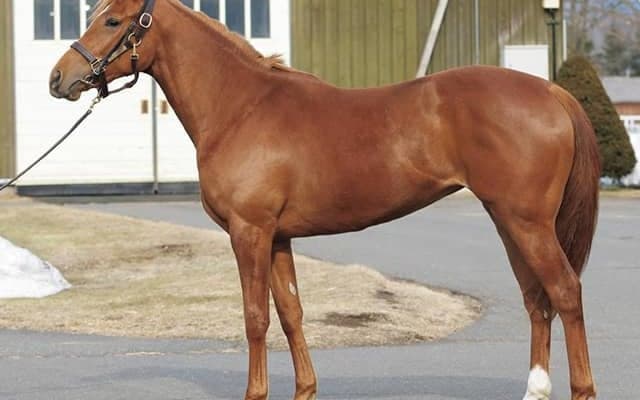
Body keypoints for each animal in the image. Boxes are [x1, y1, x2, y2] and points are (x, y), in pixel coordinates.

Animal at [49, 1, 600, 399]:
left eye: (113, 20)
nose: (59, 79)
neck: (240, 107)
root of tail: (551, 92)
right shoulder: (278, 237)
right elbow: (291, 313)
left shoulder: (249, 232)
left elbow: (255, 317)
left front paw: (255, 393)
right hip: (510, 221)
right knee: (536, 299)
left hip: (526, 222)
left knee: (565, 292)